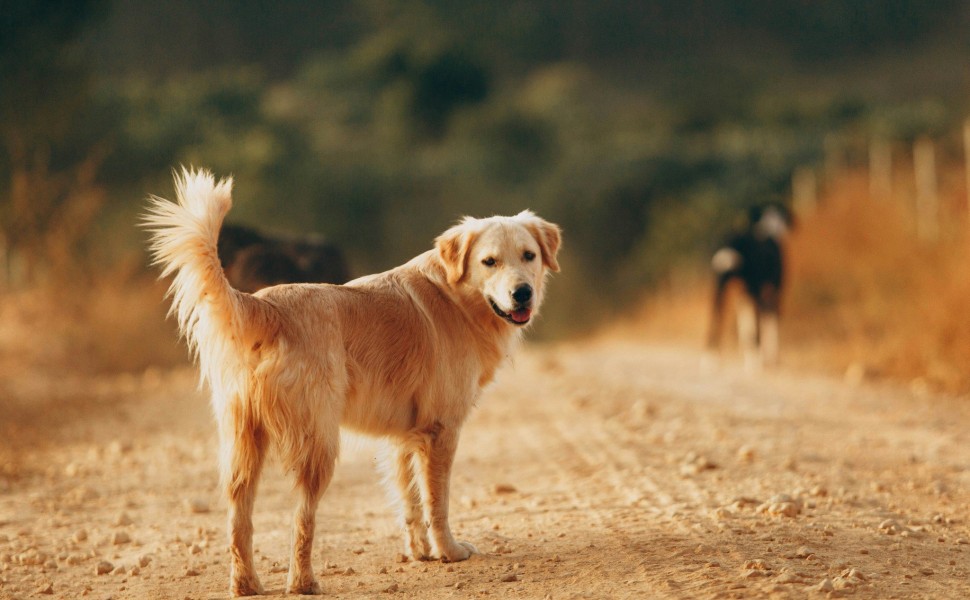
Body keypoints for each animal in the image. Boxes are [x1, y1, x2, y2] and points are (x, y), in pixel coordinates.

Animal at [140, 168, 556, 596]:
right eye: (489, 262)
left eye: (529, 255)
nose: (522, 293)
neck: (455, 295)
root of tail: (265, 305)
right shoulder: (441, 431)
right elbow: (436, 501)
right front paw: (448, 551)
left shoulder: (404, 437)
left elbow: (410, 501)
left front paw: (420, 551)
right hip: (319, 444)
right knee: (302, 519)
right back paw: (303, 582)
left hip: (244, 441)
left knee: (240, 516)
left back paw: (246, 584)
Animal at [708, 204, 792, 368]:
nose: (783, 230)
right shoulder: (773, 291)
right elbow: (770, 322)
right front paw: (772, 359)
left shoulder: (743, 296)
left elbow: (745, 327)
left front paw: (747, 356)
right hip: (756, 291)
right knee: (759, 324)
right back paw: (757, 362)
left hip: (720, 288)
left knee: (715, 317)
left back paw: (710, 359)